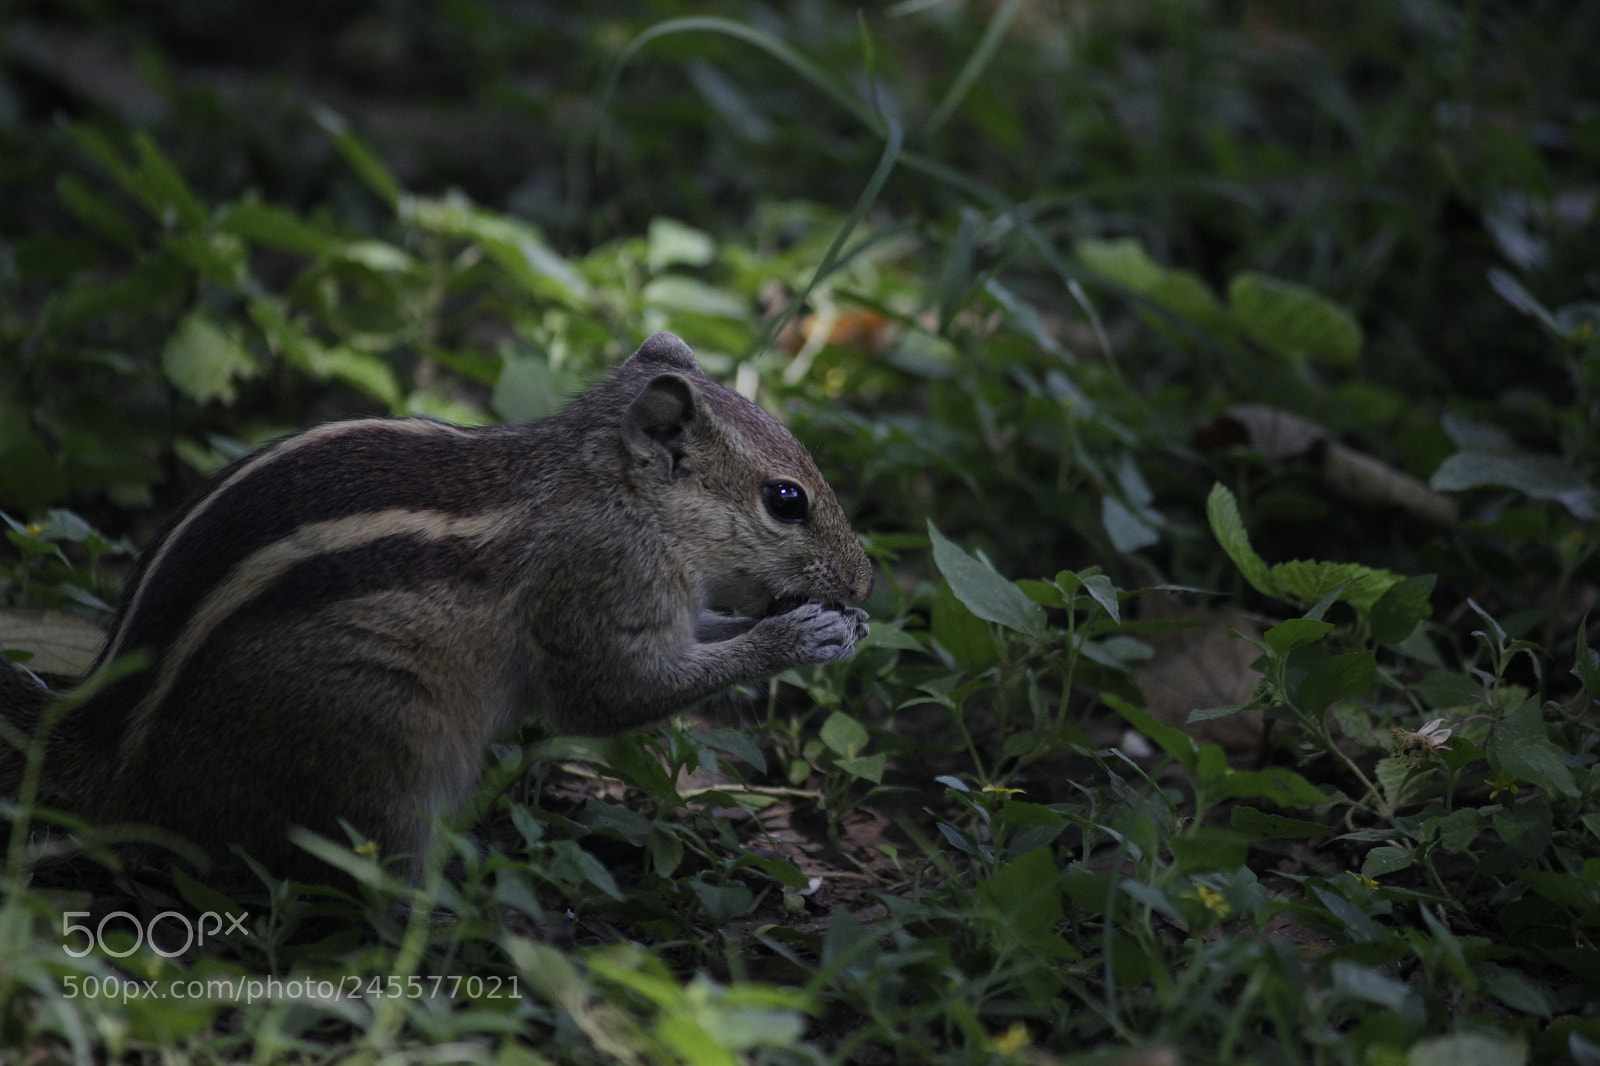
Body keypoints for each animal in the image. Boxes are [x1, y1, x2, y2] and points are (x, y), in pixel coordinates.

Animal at [0, 332, 872, 881]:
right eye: (786, 500)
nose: (865, 582)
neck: (610, 489)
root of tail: (104, 748)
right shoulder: (598, 588)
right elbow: (611, 694)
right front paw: (798, 635)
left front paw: (831, 625)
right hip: (386, 737)